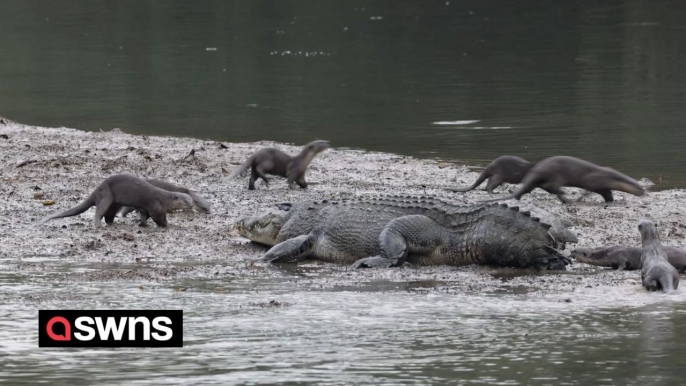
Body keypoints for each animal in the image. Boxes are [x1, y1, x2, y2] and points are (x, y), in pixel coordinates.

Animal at [37, 174, 194, 228]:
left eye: (191, 200)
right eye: (185, 201)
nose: (192, 205)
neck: (164, 199)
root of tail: (96, 190)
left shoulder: (146, 208)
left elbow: (144, 216)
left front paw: (142, 225)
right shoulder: (156, 206)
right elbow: (158, 218)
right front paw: (167, 225)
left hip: (114, 204)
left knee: (109, 215)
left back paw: (112, 223)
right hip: (106, 196)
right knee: (99, 212)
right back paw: (99, 225)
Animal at [482, 155, 648, 204]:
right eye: (639, 188)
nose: (644, 192)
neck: (608, 177)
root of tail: (537, 169)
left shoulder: (604, 187)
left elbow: (608, 194)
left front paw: (612, 201)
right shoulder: (594, 180)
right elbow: (588, 188)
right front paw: (582, 197)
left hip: (536, 182)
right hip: (557, 176)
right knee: (553, 187)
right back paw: (567, 198)